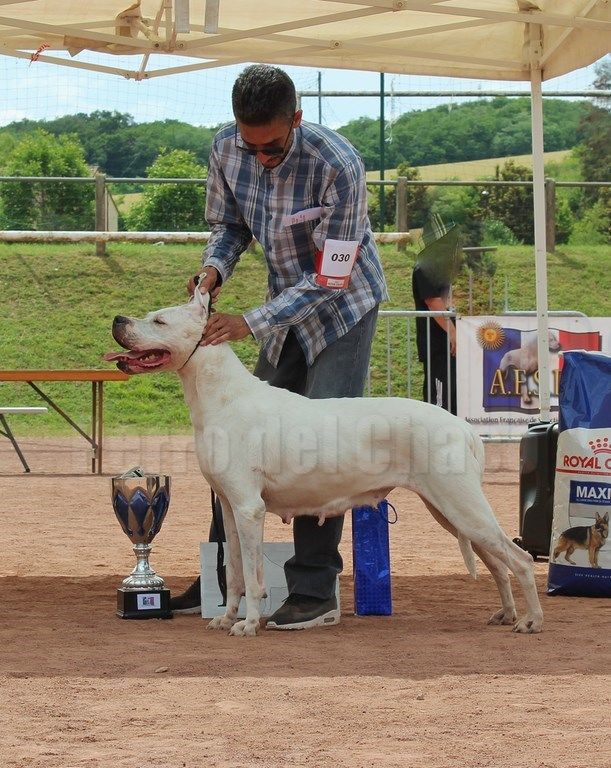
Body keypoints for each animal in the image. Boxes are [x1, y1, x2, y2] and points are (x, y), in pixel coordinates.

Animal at [105, 292, 544, 640]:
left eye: (159, 321)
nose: (118, 319)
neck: (220, 396)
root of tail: (463, 426)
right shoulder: (230, 509)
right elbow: (234, 572)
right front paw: (227, 618)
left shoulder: (249, 509)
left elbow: (253, 574)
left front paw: (248, 624)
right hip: (451, 511)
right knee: (497, 562)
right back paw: (507, 614)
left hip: (461, 505)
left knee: (519, 560)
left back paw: (531, 621)